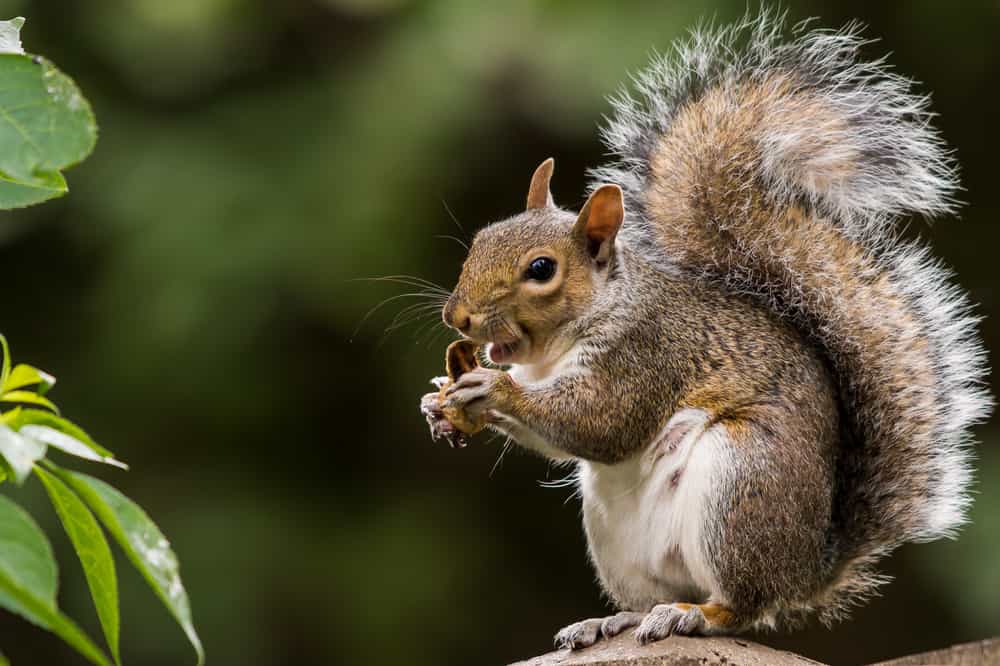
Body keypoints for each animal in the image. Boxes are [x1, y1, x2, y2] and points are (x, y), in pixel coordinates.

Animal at [418, 12, 992, 648]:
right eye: (481, 239)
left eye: (541, 270)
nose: (457, 317)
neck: (561, 344)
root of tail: (805, 569)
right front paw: (439, 402)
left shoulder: (647, 352)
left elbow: (600, 421)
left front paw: (492, 389)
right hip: (617, 535)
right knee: (659, 593)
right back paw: (618, 617)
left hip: (740, 482)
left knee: (741, 605)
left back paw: (695, 615)